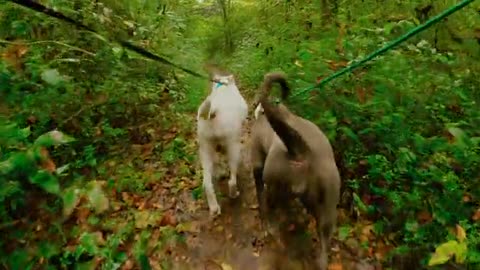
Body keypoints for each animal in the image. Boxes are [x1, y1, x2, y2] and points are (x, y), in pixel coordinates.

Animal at [195, 69, 248, 215]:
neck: (223, 85)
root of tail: (213, 114)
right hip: (234, 146)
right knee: (232, 180)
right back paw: (234, 194)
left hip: (205, 148)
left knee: (207, 184)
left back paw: (214, 208)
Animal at [249, 72, 340, 270]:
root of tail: (302, 151)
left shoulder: (257, 162)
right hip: (328, 202)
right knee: (324, 242)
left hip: (276, 185)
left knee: (270, 207)